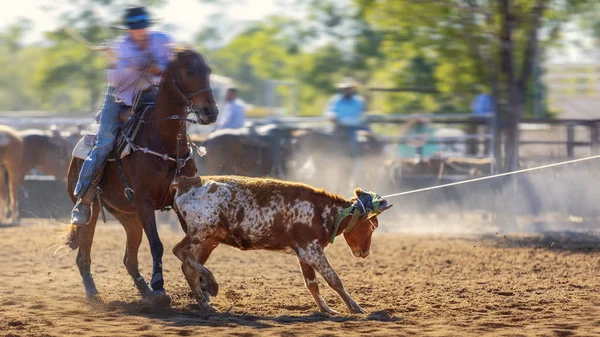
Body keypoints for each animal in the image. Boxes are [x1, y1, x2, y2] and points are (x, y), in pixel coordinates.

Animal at [64, 48, 218, 302]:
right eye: (189, 71)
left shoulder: (179, 202)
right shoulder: (145, 201)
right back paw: (94, 291)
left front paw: (202, 285)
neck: (164, 140)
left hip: (130, 216)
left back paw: (144, 290)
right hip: (94, 210)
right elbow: (157, 244)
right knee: (83, 253)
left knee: (129, 259)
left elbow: (195, 245)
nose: (210, 112)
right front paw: (159, 284)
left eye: (208, 70)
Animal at [171, 175, 392, 314]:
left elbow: (312, 283)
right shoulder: (311, 250)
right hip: (201, 231)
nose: (364, 252)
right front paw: (355, 307)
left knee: (188, 265)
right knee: (179, 251)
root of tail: (186, 183)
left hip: (209, 238)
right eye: (371, 226)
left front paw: (326, 309)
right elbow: (334, 279)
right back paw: (211, 283)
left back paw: (204, 303)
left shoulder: (304, 252)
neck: (323, 212)